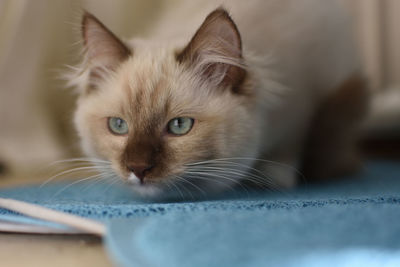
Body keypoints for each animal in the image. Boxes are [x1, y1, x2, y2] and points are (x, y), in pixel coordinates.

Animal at [69, 0, 368, 200]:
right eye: (118, 126)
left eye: (179, 126)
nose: (138, 169)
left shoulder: (302, 108)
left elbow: (289, 149)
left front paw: (274, 179)